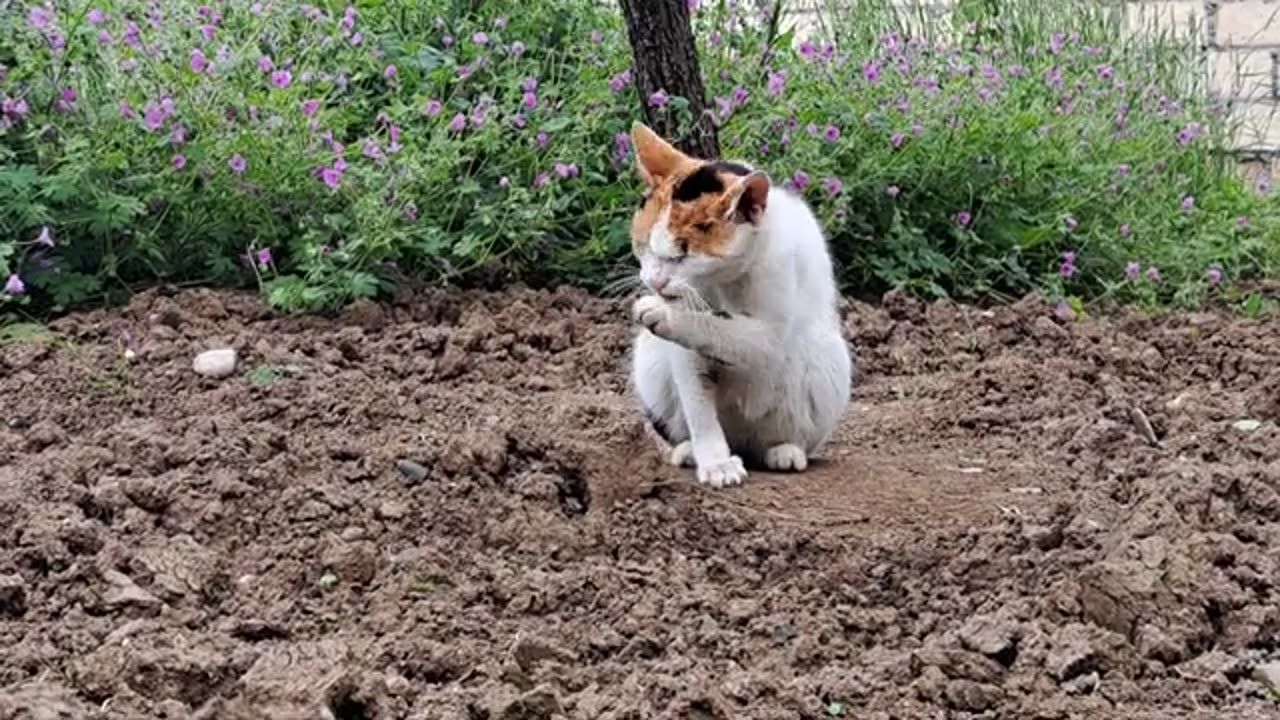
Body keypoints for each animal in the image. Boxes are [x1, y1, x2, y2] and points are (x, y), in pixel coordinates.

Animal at [627, 121, 855, 486]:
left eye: (683, 255)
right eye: (644, 244)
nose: (654, 282)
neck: (723, 281)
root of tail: (743, 442)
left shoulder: (771, 331)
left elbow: (724, 329)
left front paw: (662, 312)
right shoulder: (685, 355)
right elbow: (697, 401)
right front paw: (716, 463)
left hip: (826, 360)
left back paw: (785, 452)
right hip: (649, 360)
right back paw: (689, 451)